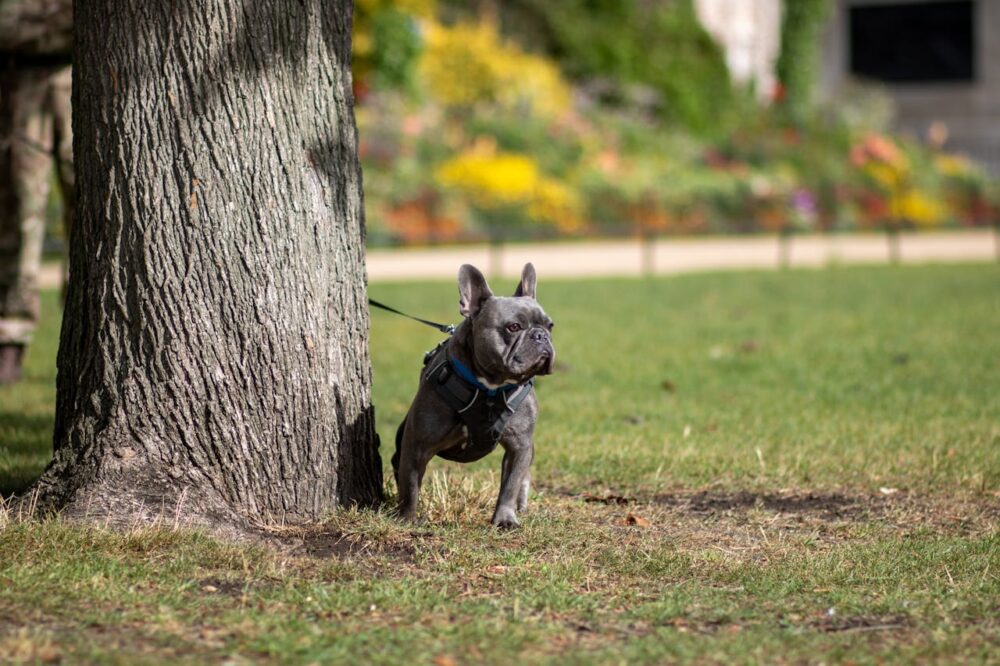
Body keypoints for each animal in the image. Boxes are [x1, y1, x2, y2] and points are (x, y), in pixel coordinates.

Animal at [392, 262, 556, 528]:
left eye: (550, 326)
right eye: (513, 327)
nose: (541, 336)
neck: (489, 388)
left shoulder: (520, 445)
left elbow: (510, 484)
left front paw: (505, 519)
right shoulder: (417, 444)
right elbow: (410, 485)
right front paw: (407, 517)